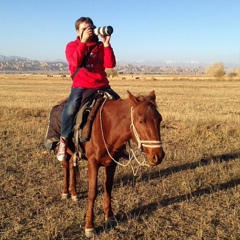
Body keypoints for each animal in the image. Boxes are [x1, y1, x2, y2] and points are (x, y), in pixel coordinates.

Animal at [61, 90, 164, 238]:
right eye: (141, 121)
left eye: (159, 119)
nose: (158, 156)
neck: (107, 127)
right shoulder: (93, 163)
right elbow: (92, 193)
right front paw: (89, 226)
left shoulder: (112, 163)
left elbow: (108, 188)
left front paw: (109, 217)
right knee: (65, 166)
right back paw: (65, 192)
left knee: (71, 165)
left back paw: (74, 193)